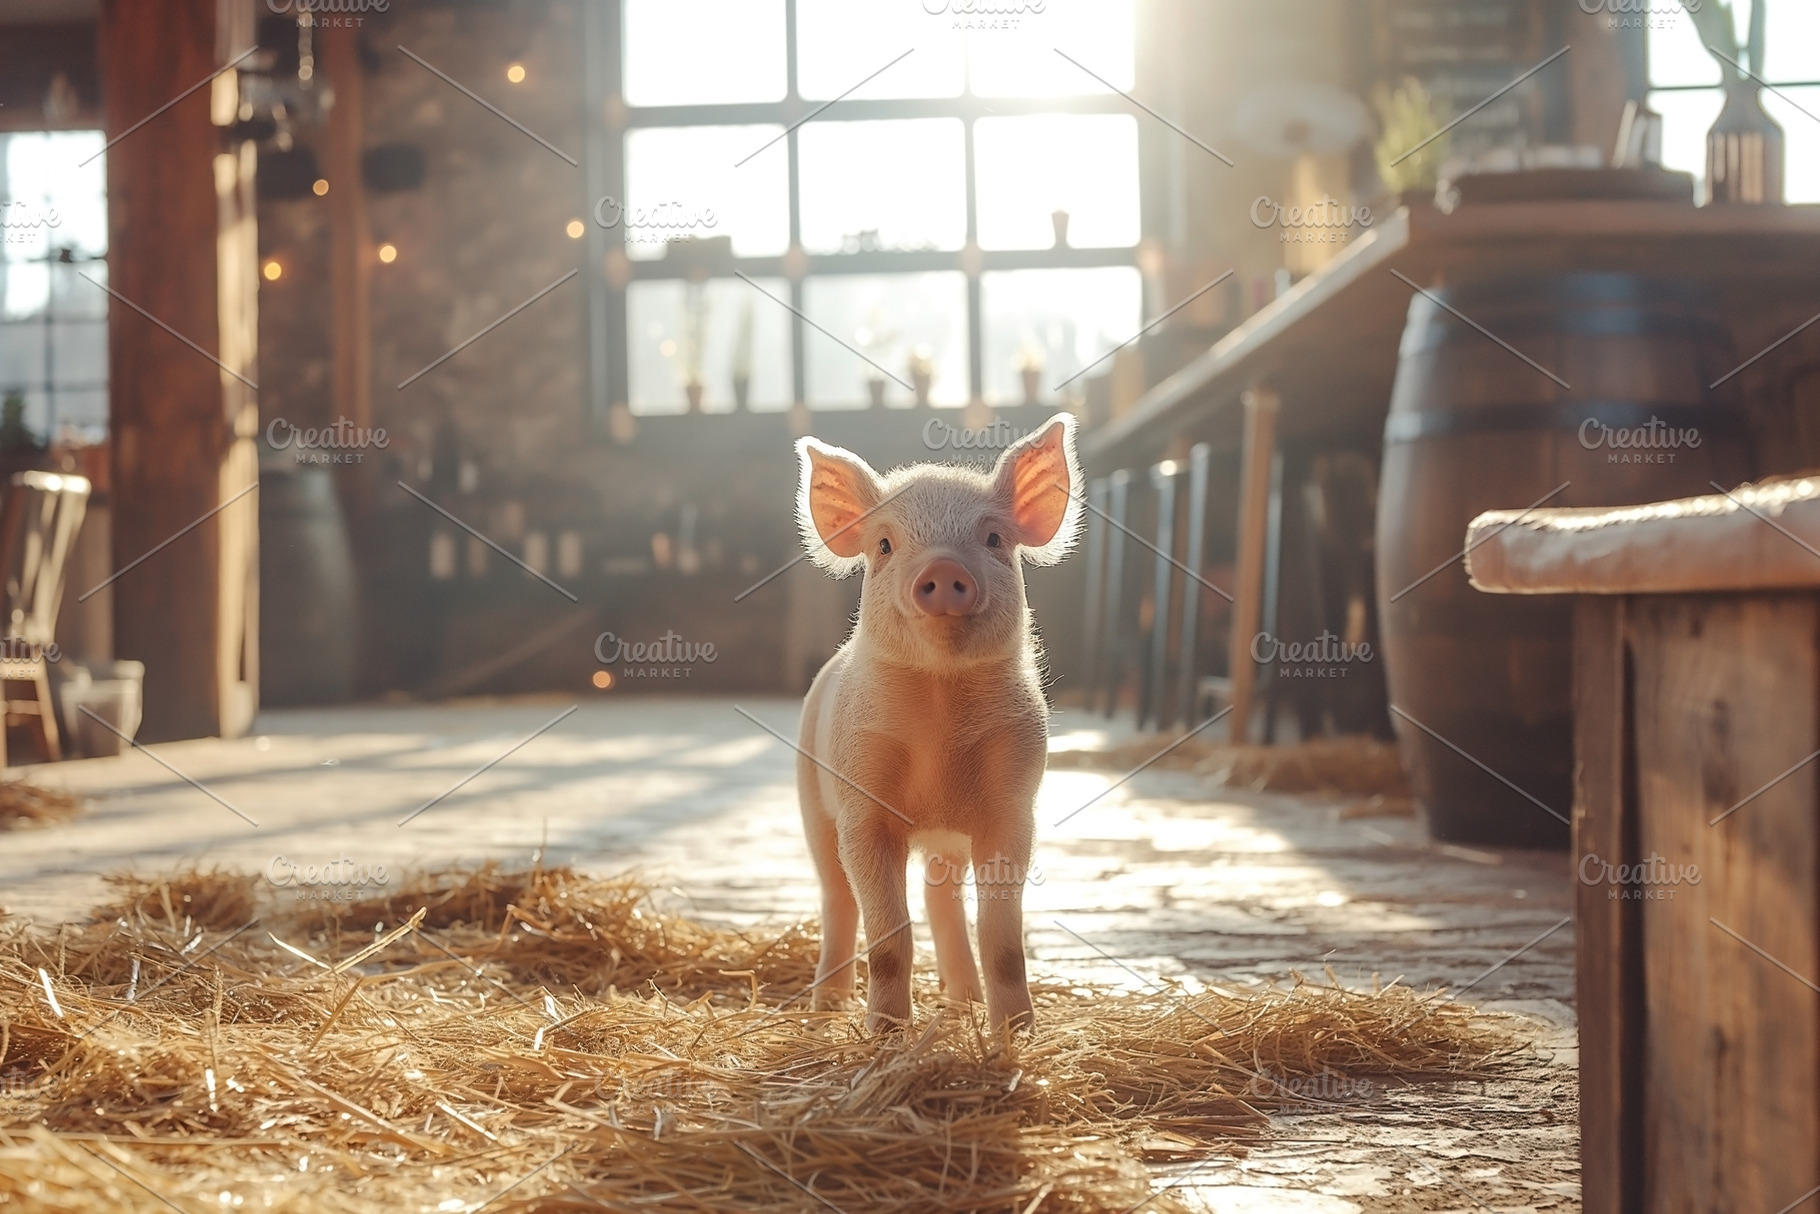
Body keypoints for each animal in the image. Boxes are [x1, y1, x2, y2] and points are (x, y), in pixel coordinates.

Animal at [793, 413, 1081, 1032]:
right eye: (884, 544)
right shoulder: (862, 804)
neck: (941, 724)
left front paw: (1016, 1032)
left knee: (938, 898)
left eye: (993, 539)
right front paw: (884, 1034)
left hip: (947, 844)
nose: (944, 568)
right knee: (837, 898)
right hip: (812, 802)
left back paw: (963, 999)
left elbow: (1003, 940)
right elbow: (887, 938)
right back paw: (826, 1008)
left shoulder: (1013, 804)